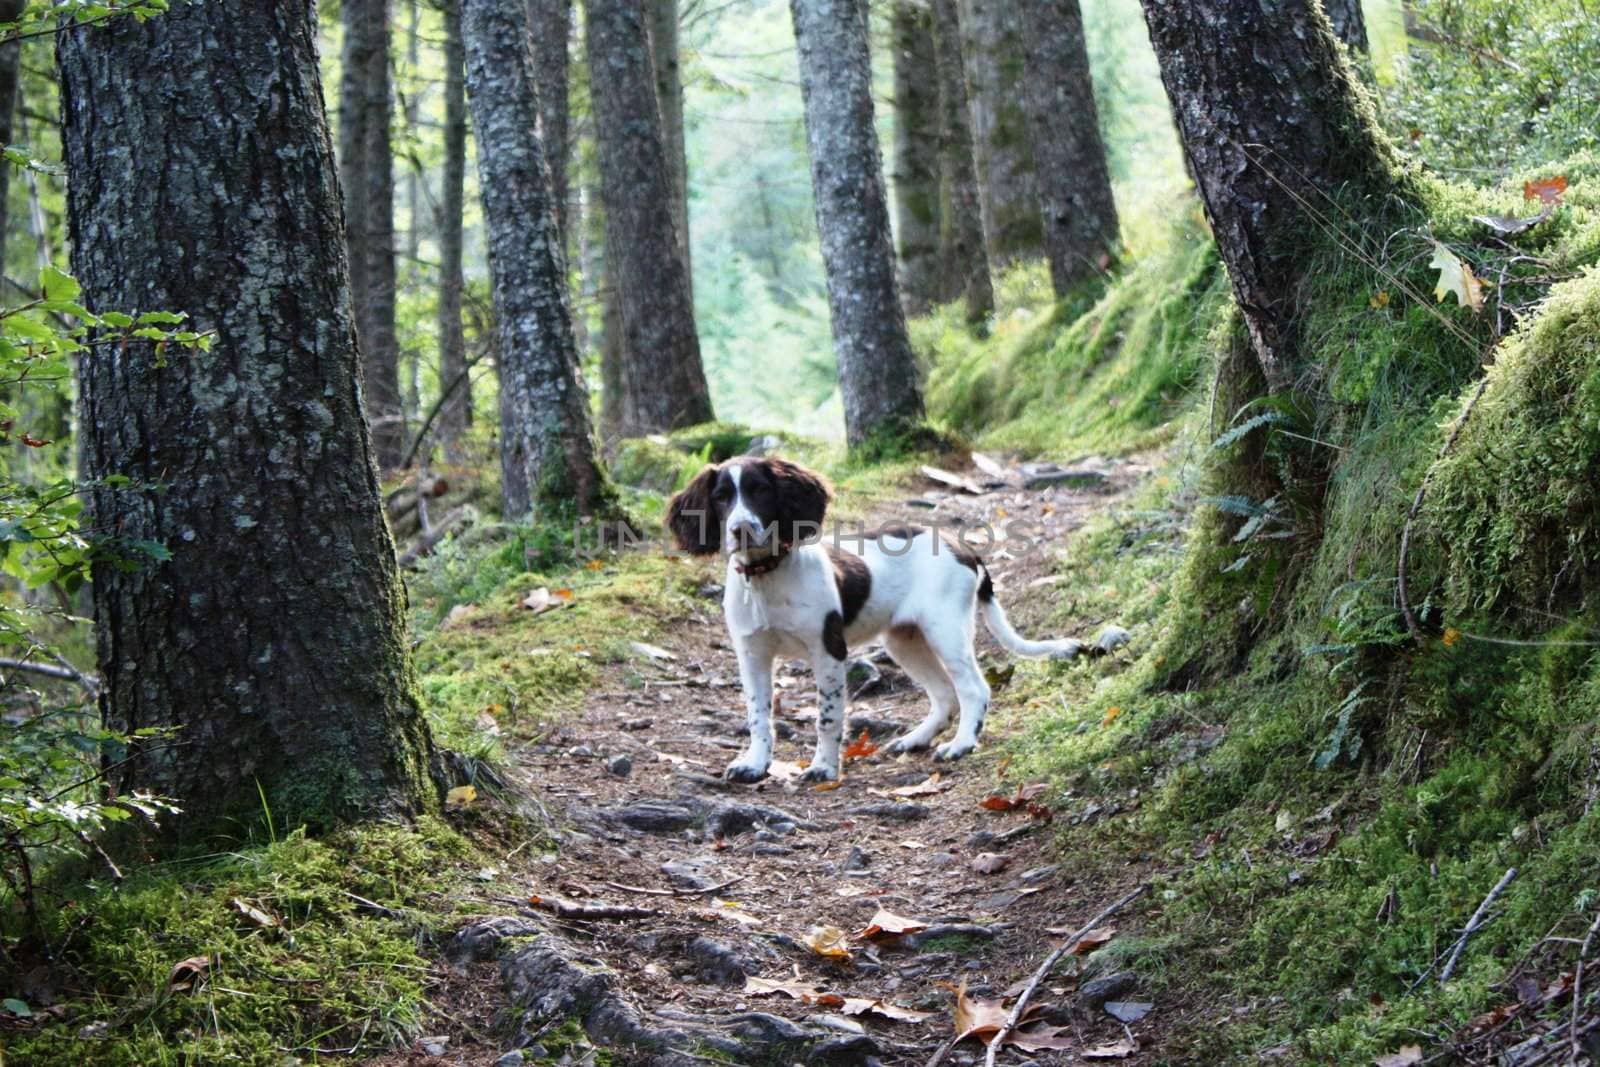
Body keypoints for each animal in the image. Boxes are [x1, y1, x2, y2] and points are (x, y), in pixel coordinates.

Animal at [662, 460, 1126, 783]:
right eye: (722, 497)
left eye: (760, 491)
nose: (740, 529)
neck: (766, 577)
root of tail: (963, 547)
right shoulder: (752, 655)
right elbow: (759, 716)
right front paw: (755, 764)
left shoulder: (828, 651)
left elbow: (827, 716)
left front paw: (824, 768)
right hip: (904, 640)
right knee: (944, 695)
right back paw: (916, 738)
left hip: (945, 630)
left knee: (973, 689)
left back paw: (961, 744)